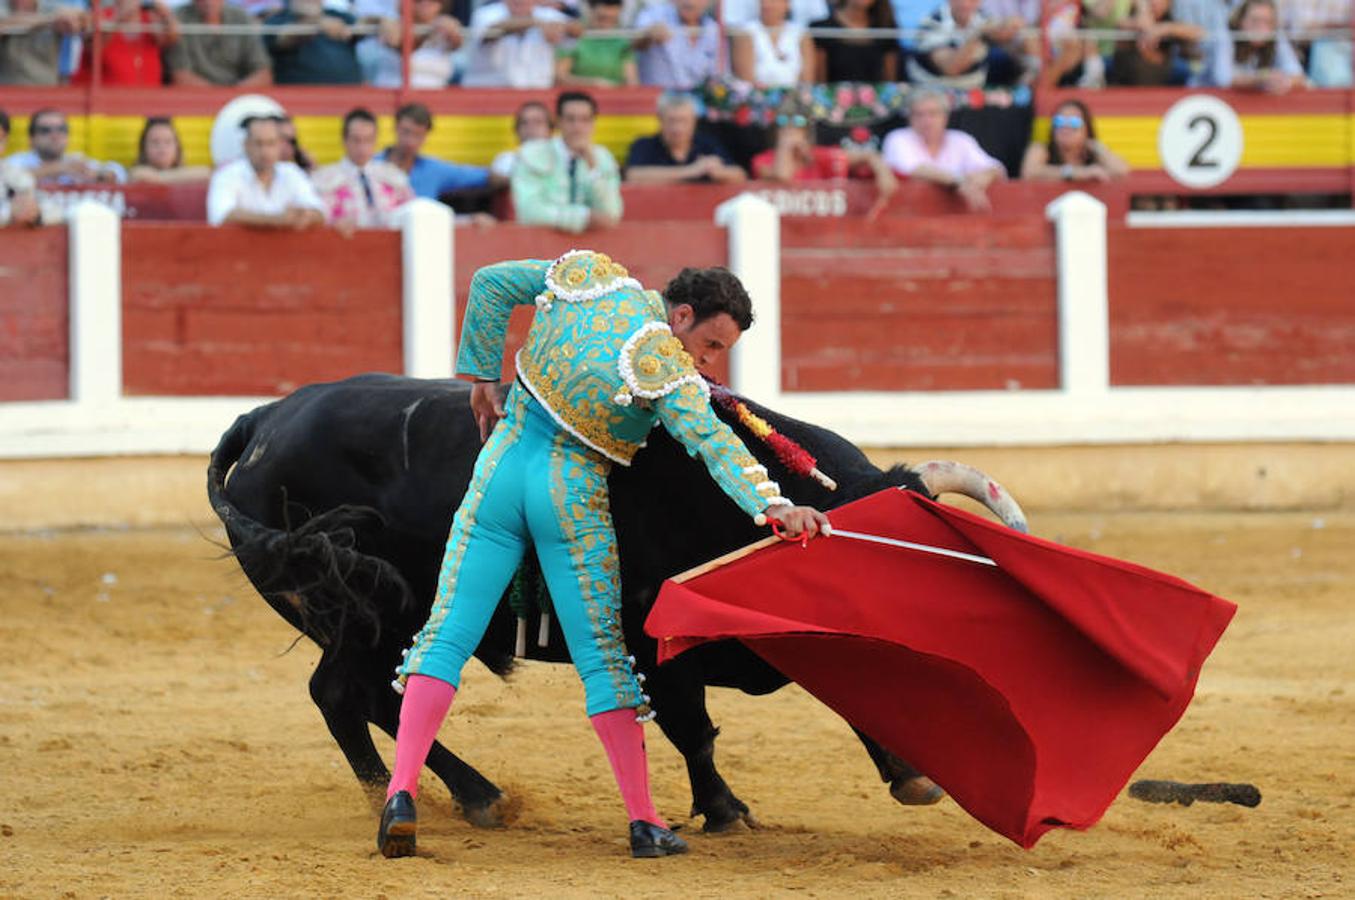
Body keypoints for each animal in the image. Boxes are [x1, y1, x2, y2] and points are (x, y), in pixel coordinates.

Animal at [205, 371, 1018, 829]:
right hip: (359, 616)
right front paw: (726, 812)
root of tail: (264, 420)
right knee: (353, 693)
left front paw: (913, 776)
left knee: (355, 696)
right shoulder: (652, 643)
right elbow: (693, 730)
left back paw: (417, 795)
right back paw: (459, 796)